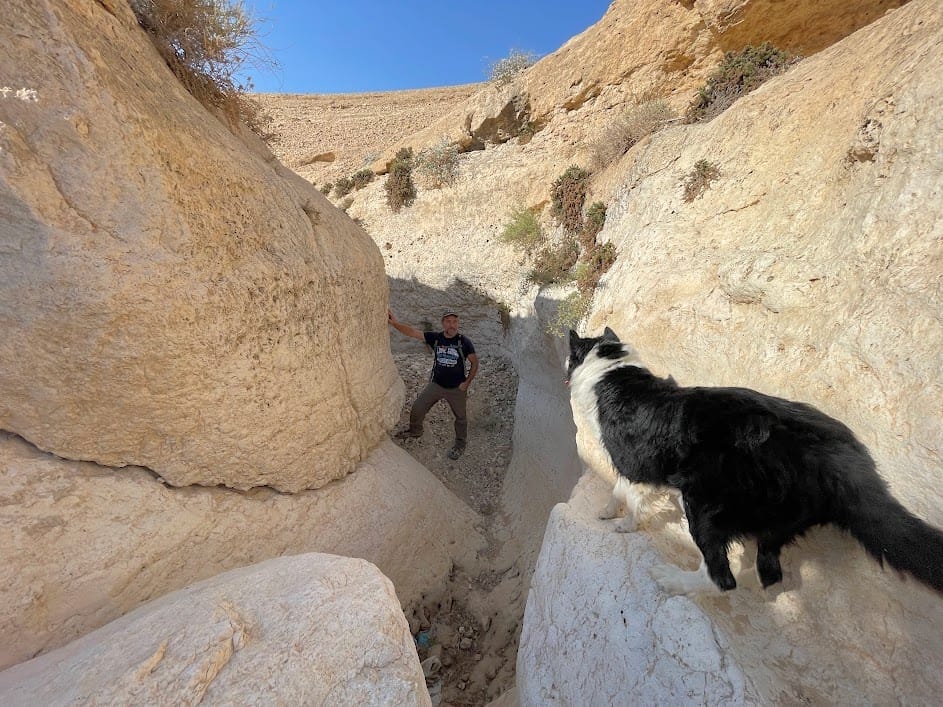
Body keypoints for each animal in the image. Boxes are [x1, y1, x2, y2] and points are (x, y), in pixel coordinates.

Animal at [568, 330, 943, 596]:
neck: (613, 371)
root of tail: (831, 458)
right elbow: (619, 491)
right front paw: (607, 511)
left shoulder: (632, 462)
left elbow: (629, 495)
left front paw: (624, 524)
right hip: (777, 523)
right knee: (769, 574)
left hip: (705, 509)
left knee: (722, 578)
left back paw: (673, 580)